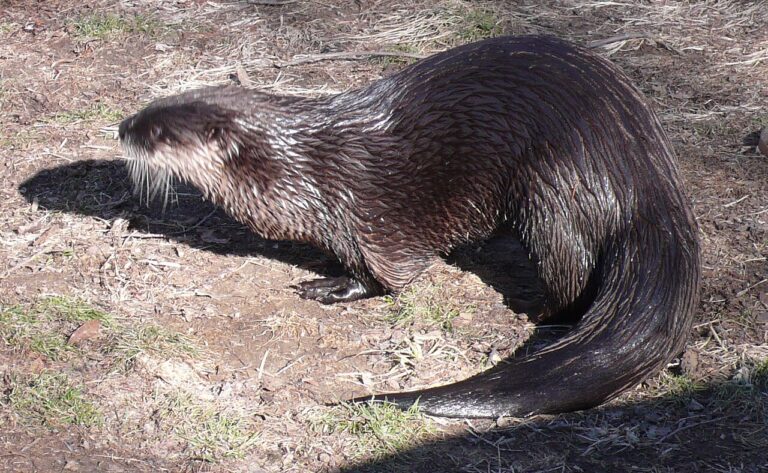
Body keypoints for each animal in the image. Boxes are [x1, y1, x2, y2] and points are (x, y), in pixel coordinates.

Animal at [118, 35, 701, 418]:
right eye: (150, 107)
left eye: (159, 131)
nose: (123, 126)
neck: (294, 168)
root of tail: (648, 179)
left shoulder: (363, 213)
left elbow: (386, 275)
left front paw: (330, 288)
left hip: (554, 188)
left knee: (570, 272)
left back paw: (538, 311)